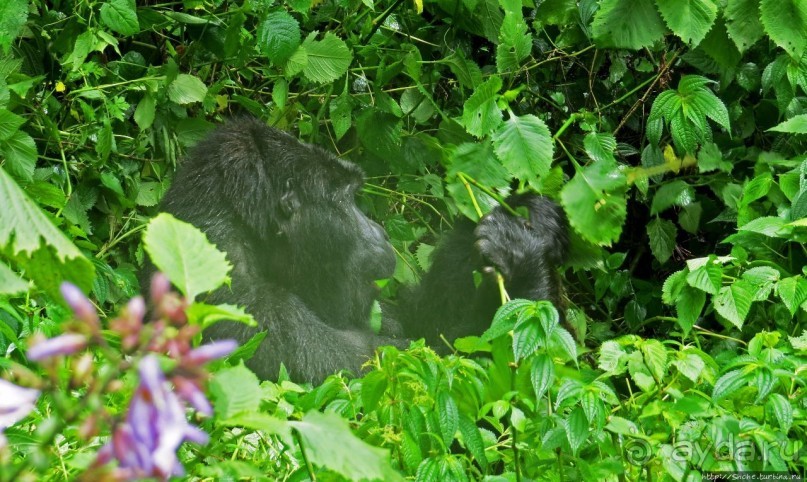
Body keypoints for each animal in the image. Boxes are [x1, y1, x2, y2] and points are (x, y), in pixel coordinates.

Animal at [158, 117, 568, 384]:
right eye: (345, 199)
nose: (379, 232)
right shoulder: (241, 308)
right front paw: (523, 262)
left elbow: (429, 326)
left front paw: (528, 218)